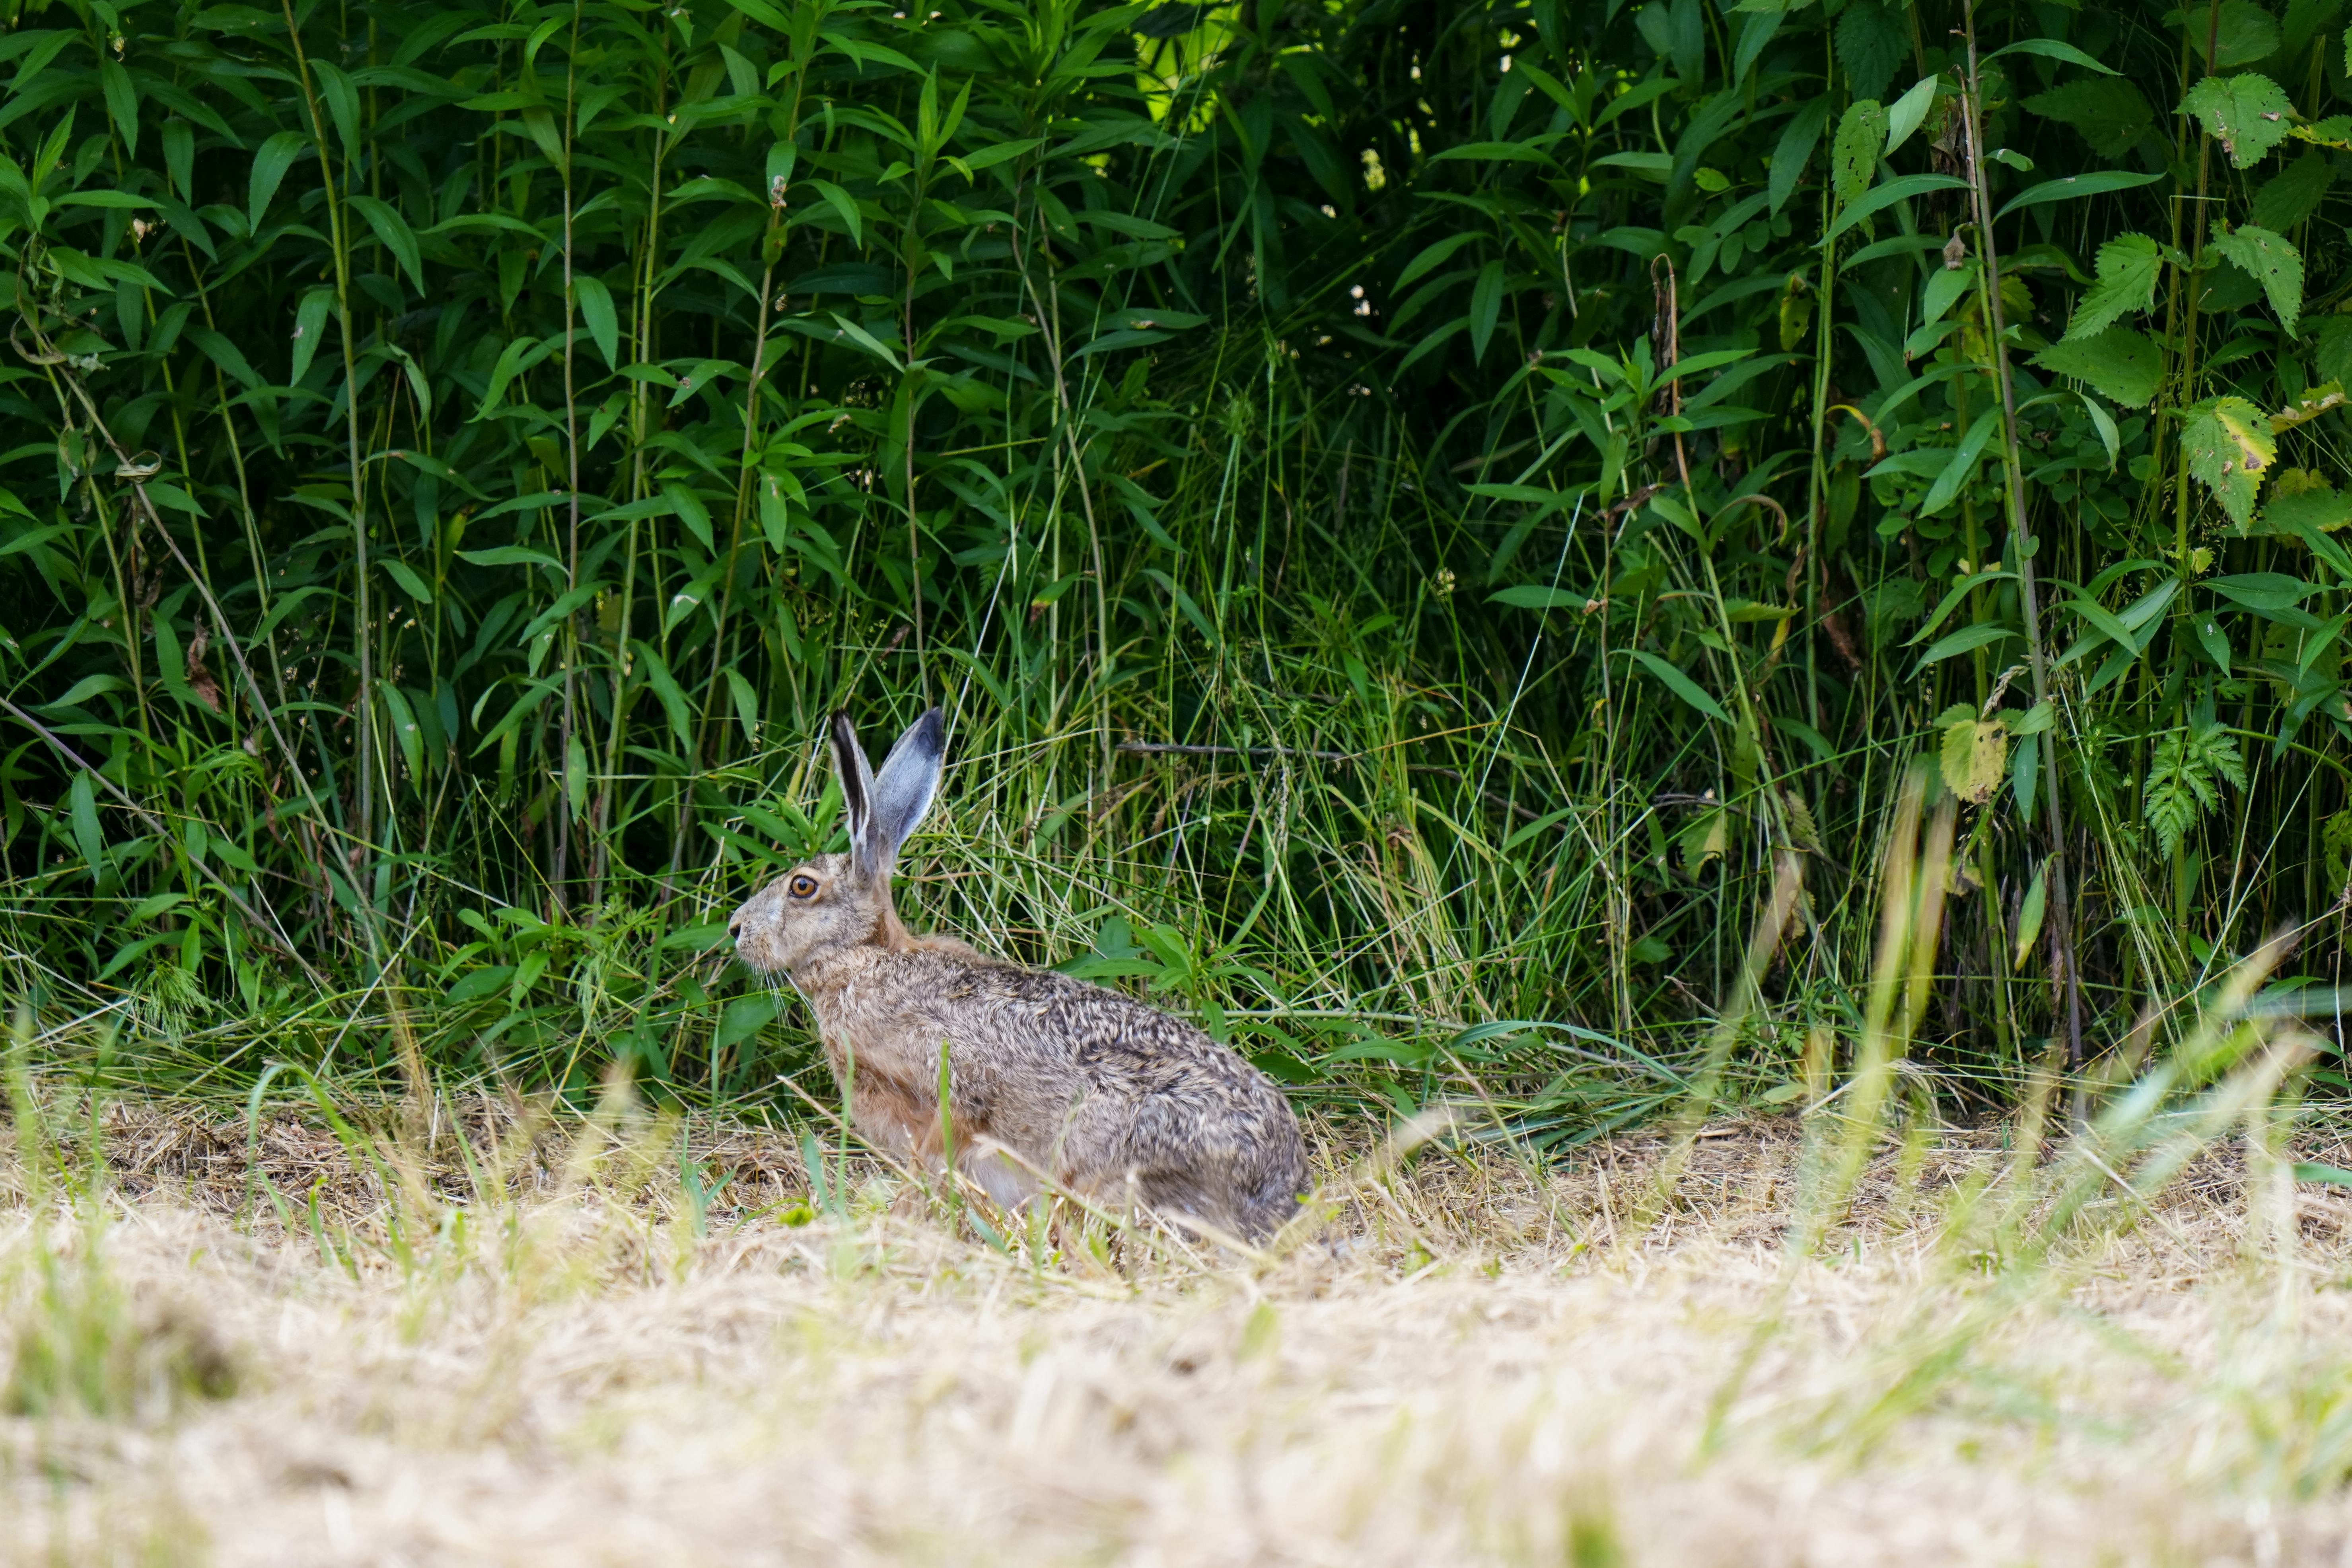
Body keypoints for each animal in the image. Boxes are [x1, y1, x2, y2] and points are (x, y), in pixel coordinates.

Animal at [729, 707, 1311, 1242]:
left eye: (802, 887)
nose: (736, 928)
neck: (866, 957)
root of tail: (1275, 1188)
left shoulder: (948, 1088)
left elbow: (935, 1158)